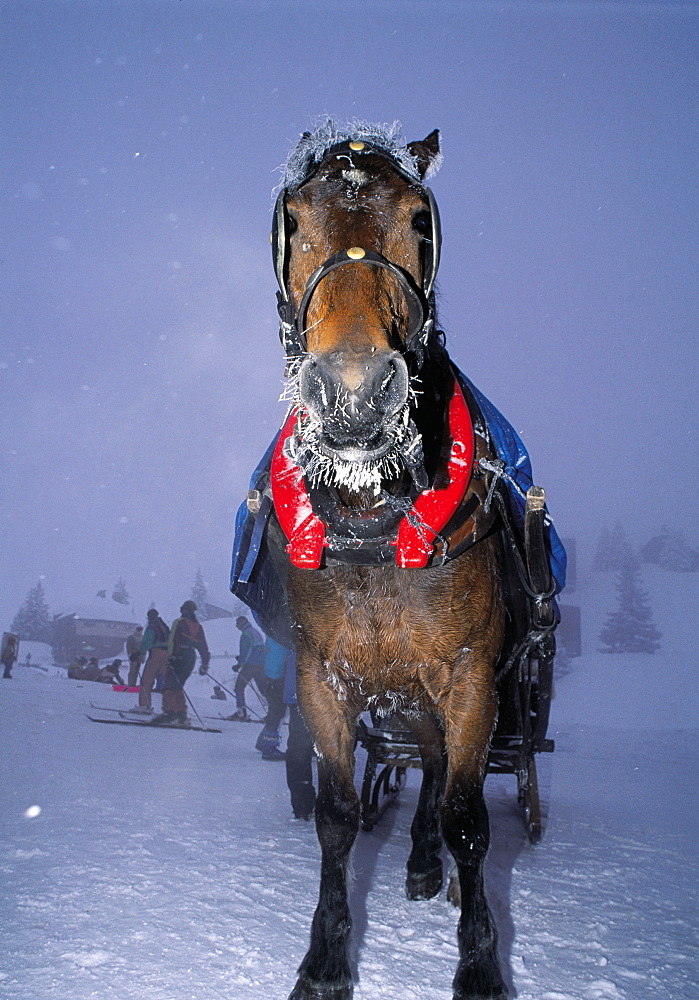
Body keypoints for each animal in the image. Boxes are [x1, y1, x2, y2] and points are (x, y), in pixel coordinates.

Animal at [256, 123, 548, 1000]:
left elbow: (466, 816)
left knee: (439, 770)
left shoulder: (467, 676)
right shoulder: (321, 677)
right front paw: (323, 959)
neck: (373, 518)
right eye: (292, 220)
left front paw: (480, 963)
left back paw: (426, 863)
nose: (354, 393)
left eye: (421, 220)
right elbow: (336, 815)